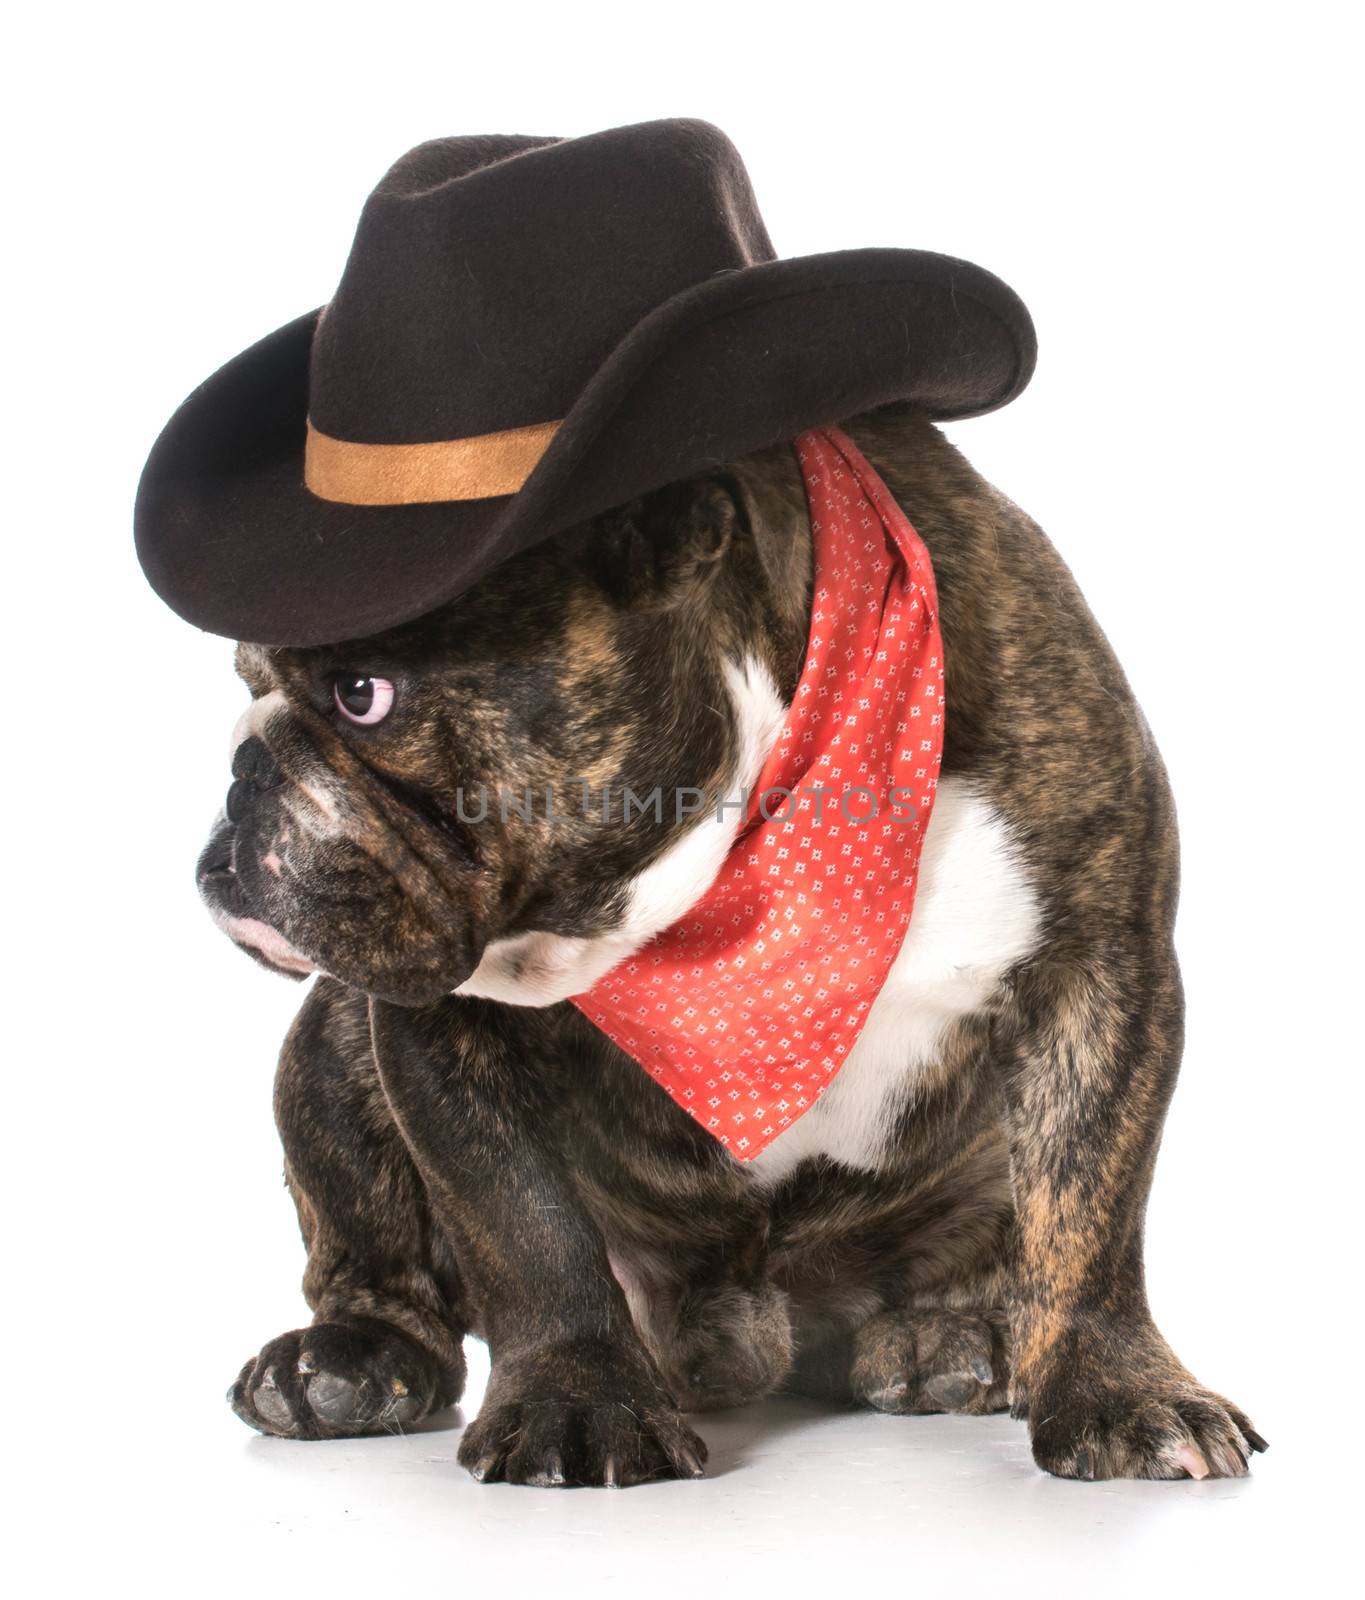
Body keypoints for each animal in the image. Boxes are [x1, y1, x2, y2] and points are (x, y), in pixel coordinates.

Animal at [202, 403, 1267, 1484]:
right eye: (244, 683)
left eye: (361, 694)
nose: (247, 763)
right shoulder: (442, 1032)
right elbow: (524, 1224)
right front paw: (576, 1397)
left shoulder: (1098, 971)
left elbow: (1089, 1210)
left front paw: (1118, 1390)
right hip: (327, 1052)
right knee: (375, 1259)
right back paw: (347, 1363)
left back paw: (948, 1337)